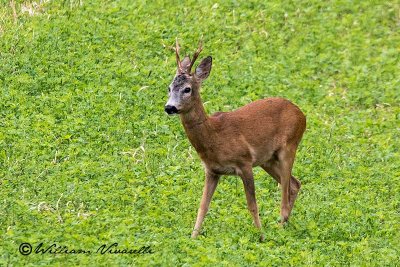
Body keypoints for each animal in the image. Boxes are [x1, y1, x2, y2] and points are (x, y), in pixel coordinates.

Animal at [164, 38, 304, 242]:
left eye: (187, 89)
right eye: (169, 88)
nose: (169, 107)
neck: (215, 137)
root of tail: (301, 113)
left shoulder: (245, 162)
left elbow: (252, 205)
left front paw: (261, 236)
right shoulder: (212, 170)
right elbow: (202, 206)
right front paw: (192, 238)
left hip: (289, 146)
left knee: (285, 192)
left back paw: (279, 229)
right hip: (267, 159)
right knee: (294, 184)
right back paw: (283, 226)